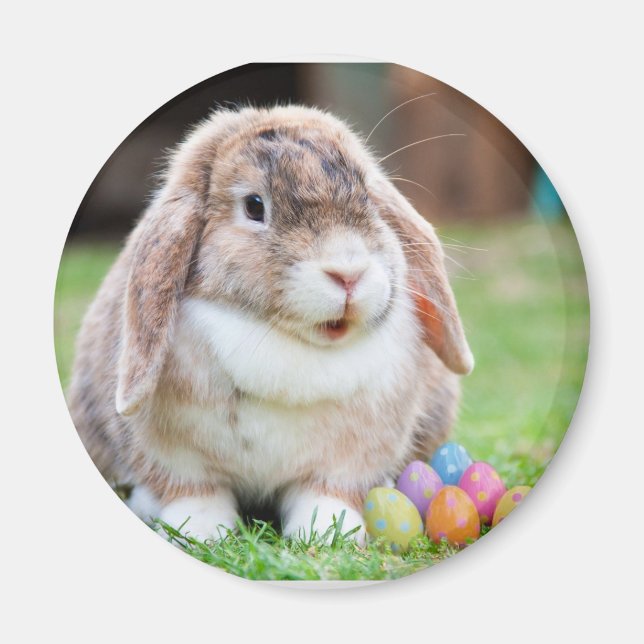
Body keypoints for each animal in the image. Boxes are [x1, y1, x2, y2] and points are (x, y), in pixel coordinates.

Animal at [67, 105, 473, 545]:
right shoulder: (175, 457)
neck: (286, 342)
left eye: (367, 195)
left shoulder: (349, 460)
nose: (348, 273)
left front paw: (328, 534)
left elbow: (327, 494)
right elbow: (195, 493)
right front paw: (201, 533)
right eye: (254, 206)